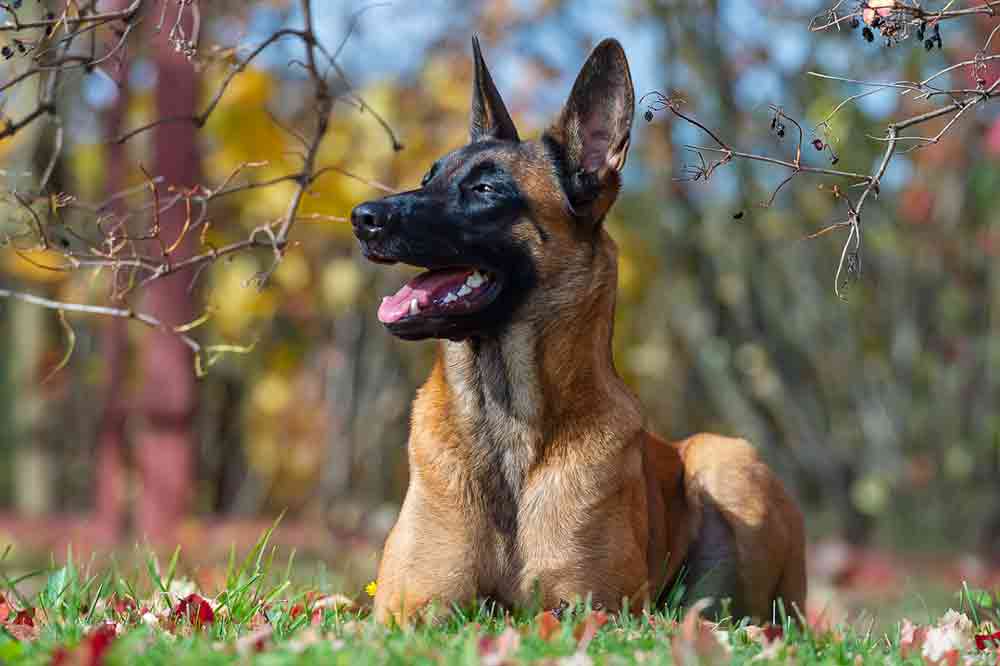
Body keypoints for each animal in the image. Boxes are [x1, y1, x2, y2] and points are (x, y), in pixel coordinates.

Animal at [350, 36, 804, 620]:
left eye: (486, 189)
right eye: (429, 178)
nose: (362, 218)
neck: (505, 424)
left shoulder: (594, 609)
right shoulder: (411, 609)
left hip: (726, 459)